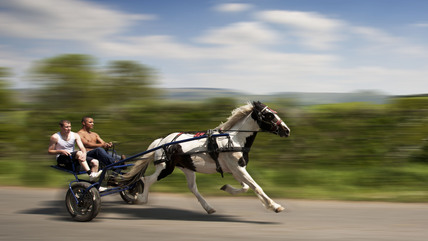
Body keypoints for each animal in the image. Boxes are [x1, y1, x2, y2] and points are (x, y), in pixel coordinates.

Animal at [119, 100, 290, 214]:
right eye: (269, 115)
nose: (287, 130)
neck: (234, 139)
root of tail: (162, 141)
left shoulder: (236, 170)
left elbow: (246, 187)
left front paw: (226, 188)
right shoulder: (238, 168)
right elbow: (256, 187)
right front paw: (275, 206)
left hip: (188, 168)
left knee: (192, 188)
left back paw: (209, 208)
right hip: (165, 168)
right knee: (146, 180)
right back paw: (139, 198)